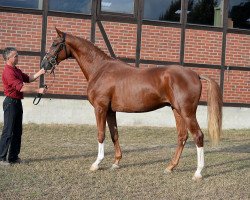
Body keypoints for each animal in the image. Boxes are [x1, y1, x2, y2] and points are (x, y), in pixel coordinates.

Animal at [41, 27, 223, 180]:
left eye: (55, 44)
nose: (44, 64)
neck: (100, 69)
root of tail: (196, 74)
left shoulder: (100, 109)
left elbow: (101, 134)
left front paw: (96, 164)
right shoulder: (110, 111)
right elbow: (114, 134)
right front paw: (116, 162)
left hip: (187, 112)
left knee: (198, 136)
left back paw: (198, 172)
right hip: (177, 110)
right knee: (182, 136)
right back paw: (170, 167)